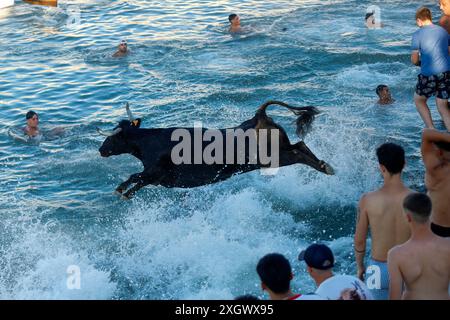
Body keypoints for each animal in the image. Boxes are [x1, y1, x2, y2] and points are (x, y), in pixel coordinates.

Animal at [99, 101, 334, 199]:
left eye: (111, 137)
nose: (101, 150)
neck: (148, 142)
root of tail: (259, 116)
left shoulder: (156, 172)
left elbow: (135, 176)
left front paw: (122, 191)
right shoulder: (158, 178)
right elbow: (137, 179)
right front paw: (124, 191)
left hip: (273, 157)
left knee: (298, 152)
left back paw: (326, 168)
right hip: (280, 149)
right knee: (300, 145)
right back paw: (326, 165)